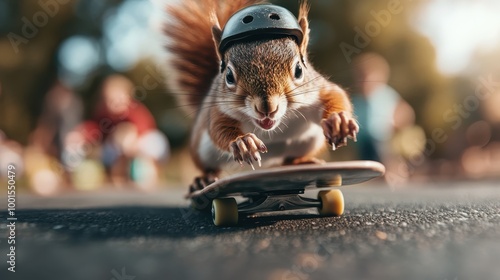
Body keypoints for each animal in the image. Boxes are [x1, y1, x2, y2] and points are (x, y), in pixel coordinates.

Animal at [164, 0, 360, 192]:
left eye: (298, 70)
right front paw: (242, 142)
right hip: (201, 151)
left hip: (308, 142)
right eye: (229, 76)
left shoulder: (318, 91)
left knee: (289, 159)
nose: (267, 108)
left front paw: (338, 121)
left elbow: (335, 95)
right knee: (210, 168)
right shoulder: (218, 109)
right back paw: (204, 180)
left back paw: (302, 162)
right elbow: (219, 128)